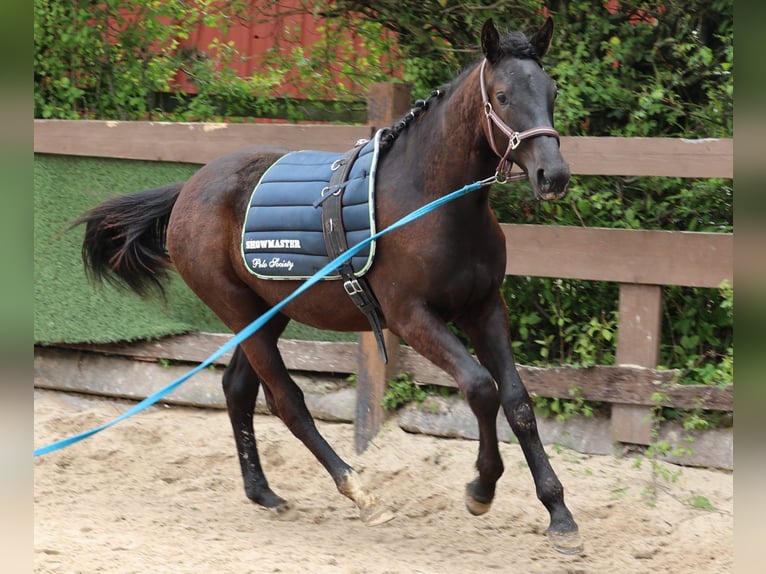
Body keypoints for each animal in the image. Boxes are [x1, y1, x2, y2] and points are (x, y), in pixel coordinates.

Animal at [76, 20, 584, 556]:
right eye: (503, 96)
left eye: (551, 91)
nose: (553, 175)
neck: (429, 202)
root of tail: (188, 191)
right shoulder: (412, 318)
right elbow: (481, 388)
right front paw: (481, 489)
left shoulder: (484, 309)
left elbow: (518, 401)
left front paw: (559, 515)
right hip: (239, 312)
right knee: (286, 401)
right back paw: (359, 491)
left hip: (268, 314)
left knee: (238, 388)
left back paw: (262, 491)